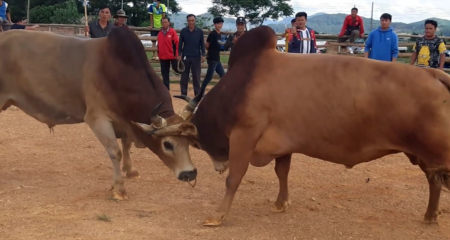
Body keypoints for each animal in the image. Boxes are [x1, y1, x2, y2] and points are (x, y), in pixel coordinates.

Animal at [0, 27, 199, 201]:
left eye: (188, 141)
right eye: (168, 144)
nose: (189, 173)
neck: (115, 71)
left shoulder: (125, 120)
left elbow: (126, 145)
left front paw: (130, 171)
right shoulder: (97, 118)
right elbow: (115, 152)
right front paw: (119, 189)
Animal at [139, 26, 450, 227]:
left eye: (192, 143)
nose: (211, 168)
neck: (240, 86)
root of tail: (435, 75)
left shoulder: (244, 136)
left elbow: (235, 178)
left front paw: (217, 216)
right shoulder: (282, 144)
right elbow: (282, 172)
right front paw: (280, 203)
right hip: (424, 156)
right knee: (434, 182)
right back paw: (430, 215)